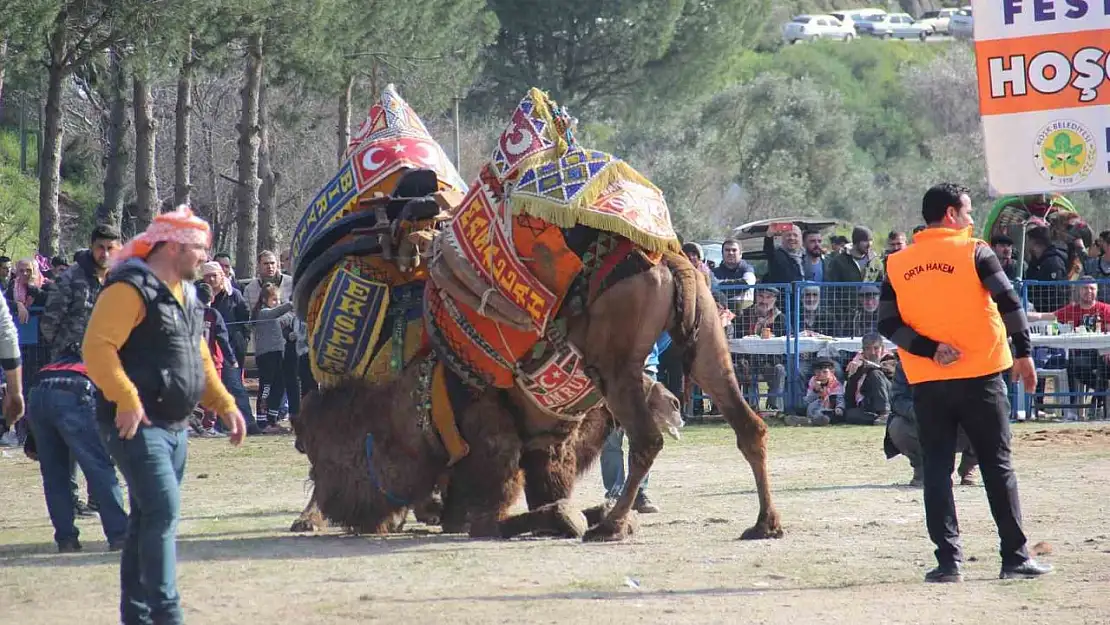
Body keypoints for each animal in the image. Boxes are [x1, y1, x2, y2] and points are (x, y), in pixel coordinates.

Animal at [290, 85, 785, 539]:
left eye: (328, 453)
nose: (342, 507)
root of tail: (668, 257)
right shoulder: (544, 443)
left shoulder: (491, 442)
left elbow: (496, 514)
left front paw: (586, 519)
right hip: (707, 344)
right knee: (749, 426)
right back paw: (764, 522)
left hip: (618, 366)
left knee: (650, 439)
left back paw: (614, 526)